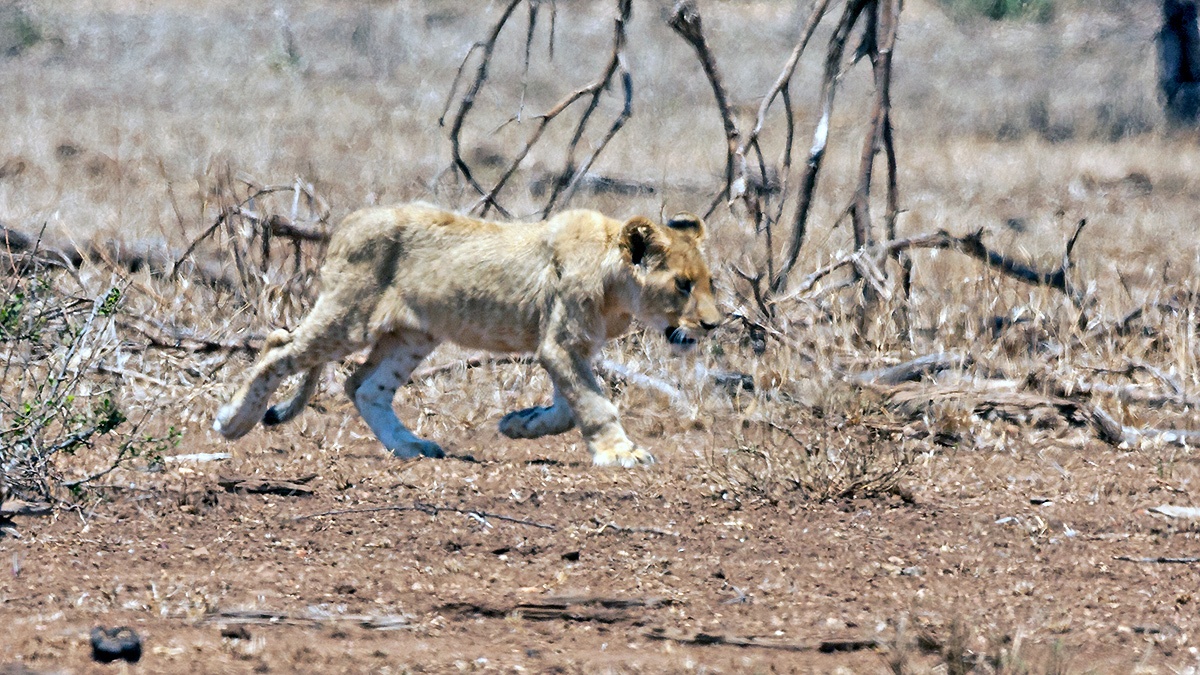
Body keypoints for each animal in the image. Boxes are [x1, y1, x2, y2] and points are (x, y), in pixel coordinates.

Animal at [213, 203, 721, 467]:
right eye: (682, 284)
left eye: (708, 282)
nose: (713, 324)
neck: (614, 283)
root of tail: (344, 226)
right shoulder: (561, 343)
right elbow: (595, 404)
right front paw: (620, 452)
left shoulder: (570, 346)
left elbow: (567, 407)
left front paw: (520, 423)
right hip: (349, 317)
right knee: (278, 346)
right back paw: (233, 421)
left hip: (413, 335)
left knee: (363, 385)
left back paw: (411, 447)